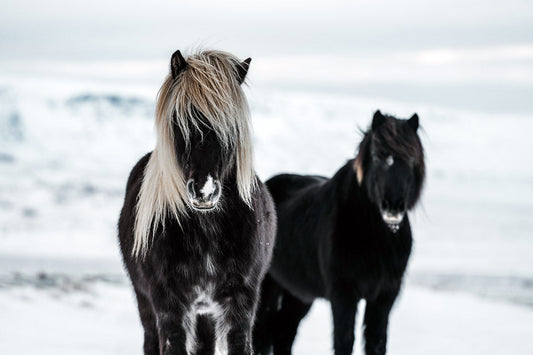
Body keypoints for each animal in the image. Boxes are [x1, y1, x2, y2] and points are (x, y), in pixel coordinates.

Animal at [118, 50, 276, 355]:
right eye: (180, 121)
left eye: (231, 126)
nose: (204, 190)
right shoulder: (168, 305)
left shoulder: (241, 304)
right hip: (146, 303)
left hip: (206, 314)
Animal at [252, 111, 424, 355]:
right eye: (377, 157)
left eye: (411, 159)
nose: (393, 206)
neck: (375, 238)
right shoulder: (344, 294)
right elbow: (345, 341)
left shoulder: (384, 296)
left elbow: (376, 342)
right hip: (268, 287)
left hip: (299, 294)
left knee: (284, 330)